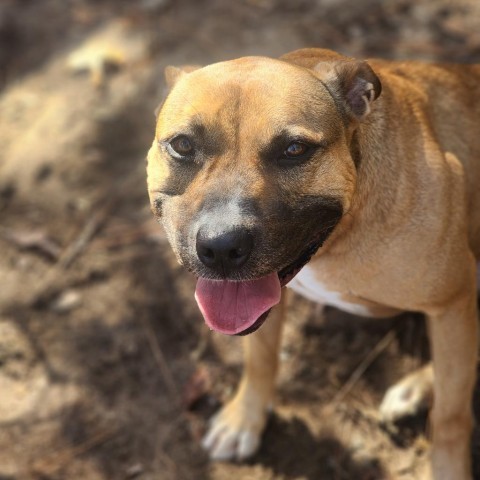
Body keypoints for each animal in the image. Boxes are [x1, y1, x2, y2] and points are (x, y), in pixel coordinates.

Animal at [147, 49, 480, 480]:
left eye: (294, 149)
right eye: (183, 145)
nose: (221, 246)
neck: (338, 235)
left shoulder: (452, 302)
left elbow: (451, 416)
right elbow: (260, 359)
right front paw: (244, 419)